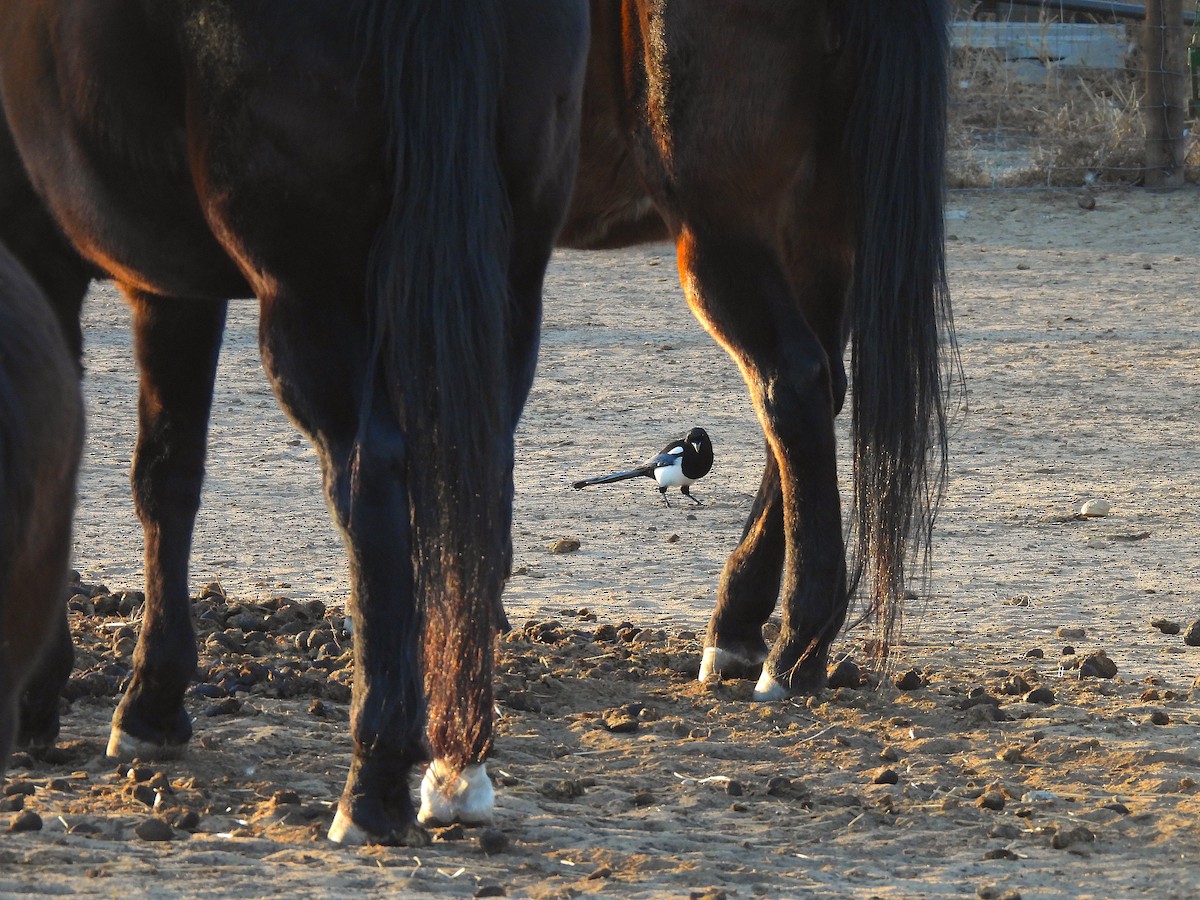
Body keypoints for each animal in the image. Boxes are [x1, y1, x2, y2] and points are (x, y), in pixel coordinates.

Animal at [0, 0, 590, 844]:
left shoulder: (40, 254)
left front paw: (39, 694)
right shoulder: (171, 283)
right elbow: (167, 479)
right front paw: (152, 704)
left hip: (315, 298)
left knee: (369, 481)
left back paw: (372, 784)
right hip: (508, 284)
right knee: (479, 480)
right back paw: (456, 770)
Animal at [564, 0, 955, 696]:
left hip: (722, 227)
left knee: (789, 383)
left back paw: (791, 646)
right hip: (815, 225)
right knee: (817, 389)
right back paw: (748, 632)